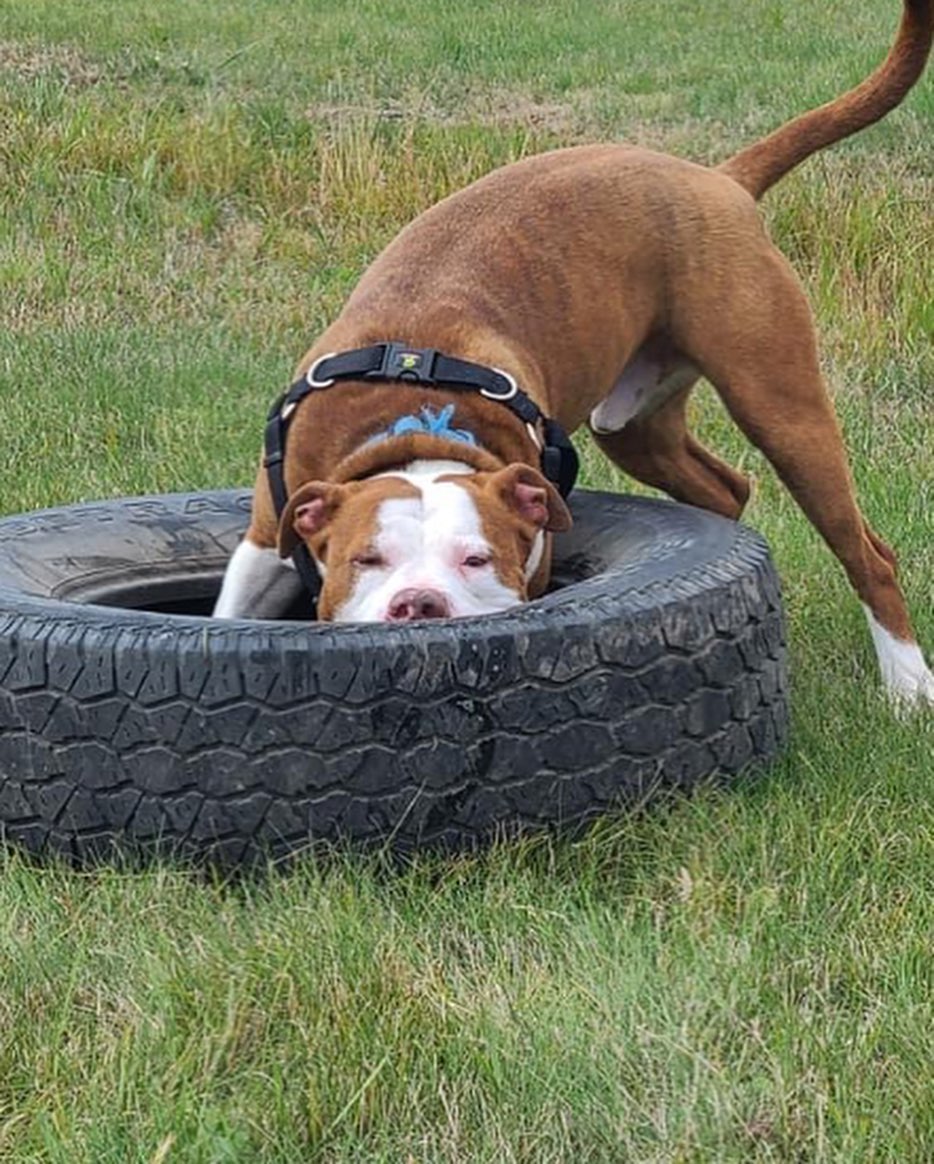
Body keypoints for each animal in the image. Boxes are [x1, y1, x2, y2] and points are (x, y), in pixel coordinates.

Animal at [213, 0, 931, 707]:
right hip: (636, 426)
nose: (419, 604)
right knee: (725, 487)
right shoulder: (264, 538)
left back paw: (906, 684)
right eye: (366, 559)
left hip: (779, 405)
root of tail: (716, 179)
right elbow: (230, 611)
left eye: (478, 559)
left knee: (866, 551)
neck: (414, 416)